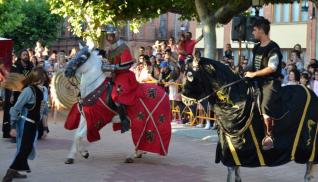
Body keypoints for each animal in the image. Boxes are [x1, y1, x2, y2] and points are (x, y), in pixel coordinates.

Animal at [181, 57, 318, 182]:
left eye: (189, 75)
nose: (183, 98)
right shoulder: (230, 145)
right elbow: (235, 172)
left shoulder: (235, 148)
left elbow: (231, 170)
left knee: (309, 170)